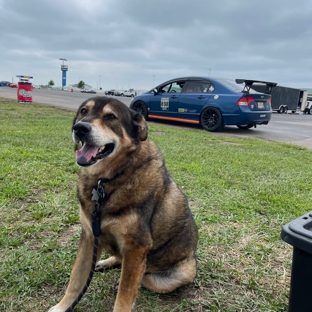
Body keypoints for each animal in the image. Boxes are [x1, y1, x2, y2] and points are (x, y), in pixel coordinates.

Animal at [48, 96, 197, 310]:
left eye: (111, 117)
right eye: (84, 111)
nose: (80, 128)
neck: (107, 180)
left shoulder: (136, 247)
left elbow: (125, 295)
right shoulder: (90, 237)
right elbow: (75, 279)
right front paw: (62, 307)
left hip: (177, 274)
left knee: (142, 276)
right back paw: (105, 262)